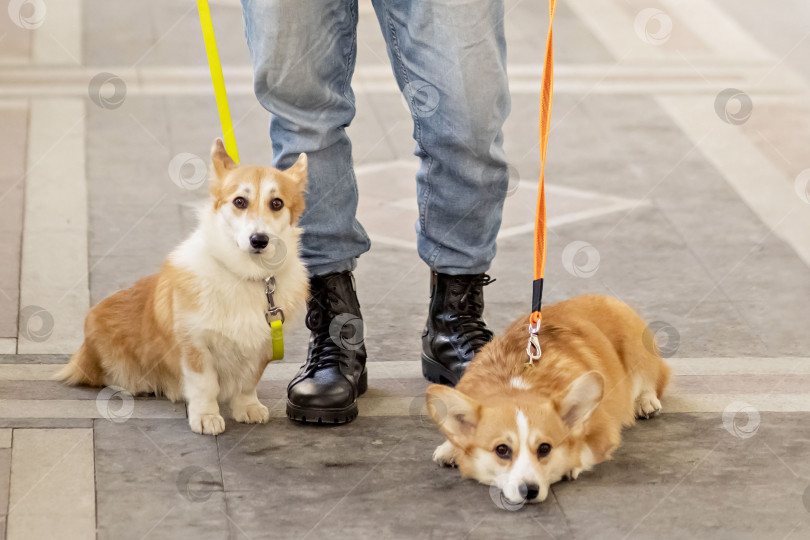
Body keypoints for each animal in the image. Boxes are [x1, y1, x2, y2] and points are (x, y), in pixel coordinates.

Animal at [56, 139, 310, 434]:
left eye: (277, 203)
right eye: (239, 201)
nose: (259, 240)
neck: (245, 274)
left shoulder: (264, 343)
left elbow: (248, 382)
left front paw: (247, 408)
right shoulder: (194, 344)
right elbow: (205, 385)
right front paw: (206, 416)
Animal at [422, 294, 668, 504]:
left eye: (544, 448)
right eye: (502, 450)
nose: (529, 491)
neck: (518, 381)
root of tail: (600, 296)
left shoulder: (604, 431)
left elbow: (585, 450)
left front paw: (569, 463)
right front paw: (450, 448)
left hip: (637, 351)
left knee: (652, 379)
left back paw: (645, 402)